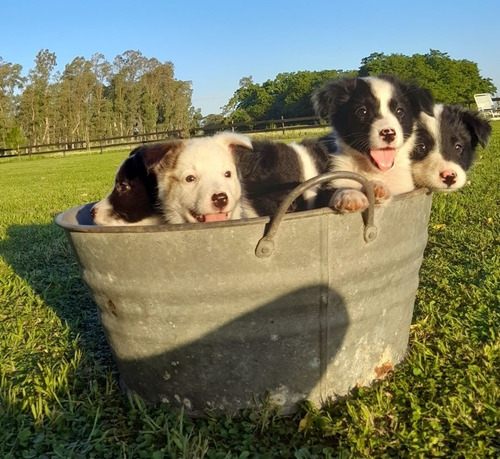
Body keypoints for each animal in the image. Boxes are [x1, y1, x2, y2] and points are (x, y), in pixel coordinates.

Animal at [312, 74, 434, 213]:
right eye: (362, 111)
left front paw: (379, 187)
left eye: (399, 111)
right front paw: (350, 194)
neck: (373, 171)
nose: (388, 134)